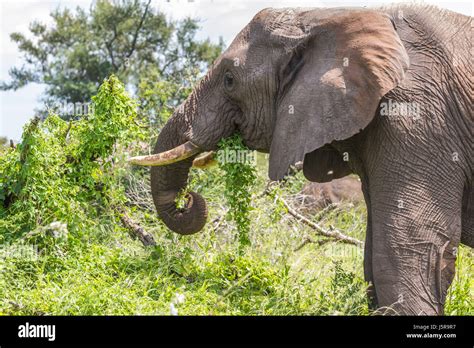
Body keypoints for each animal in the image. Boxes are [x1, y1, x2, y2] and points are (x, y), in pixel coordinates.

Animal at [128, 4, 472, 316]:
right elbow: (374, 250)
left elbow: (406, 243)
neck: (325, 16)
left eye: (229, 79)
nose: (189, 199)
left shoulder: (419, 118)